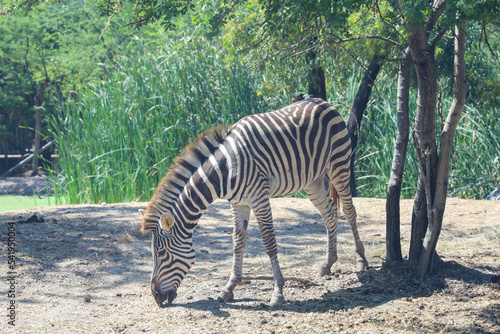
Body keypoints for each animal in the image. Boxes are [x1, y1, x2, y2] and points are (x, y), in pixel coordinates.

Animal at [140, 98, 368, 306]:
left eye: (161, 253)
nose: (156, 297)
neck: (225, 170)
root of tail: (322, 101)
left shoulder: (259, 198)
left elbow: (269, 242)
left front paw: (278, 291)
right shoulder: (238, 204)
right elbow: (237, 243)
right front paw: (229, 288)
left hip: (339, 165)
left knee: (349, 211)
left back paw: (361, 260)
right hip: (313, 180)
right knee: (329, 212)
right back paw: (328, 263)